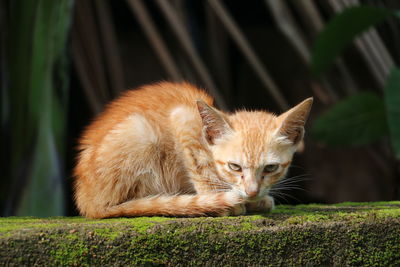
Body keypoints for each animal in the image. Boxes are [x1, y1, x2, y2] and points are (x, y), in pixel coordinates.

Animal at [75, 82, 312, 219]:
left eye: (270, 168)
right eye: (234, 167)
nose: (252, 192)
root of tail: (87, 202)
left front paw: (256, 200)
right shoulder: (184, 119)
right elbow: (202, 171)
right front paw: (222, 202)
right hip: (140, 131)